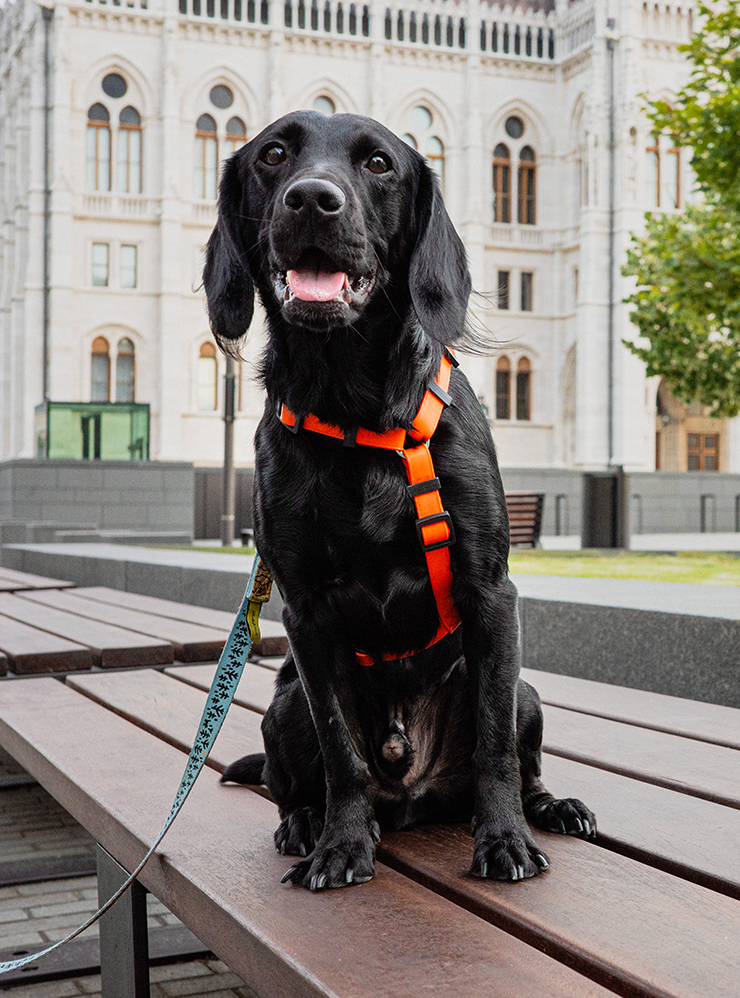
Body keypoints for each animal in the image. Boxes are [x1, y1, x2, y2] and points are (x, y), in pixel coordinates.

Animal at [204, 109, 596, 892]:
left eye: (379, 162)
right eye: (273, 154)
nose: (312, 199)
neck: (356, 410)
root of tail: (414, 793)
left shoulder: (490, 595)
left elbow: (496, 749)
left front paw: (504, 839)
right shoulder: (308, 617)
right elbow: (342, 752)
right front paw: (342, 844)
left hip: (526, 691)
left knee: (520, 755)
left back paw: (551, 808)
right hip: (283, 702)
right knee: (296, 781)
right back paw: (303, 825)